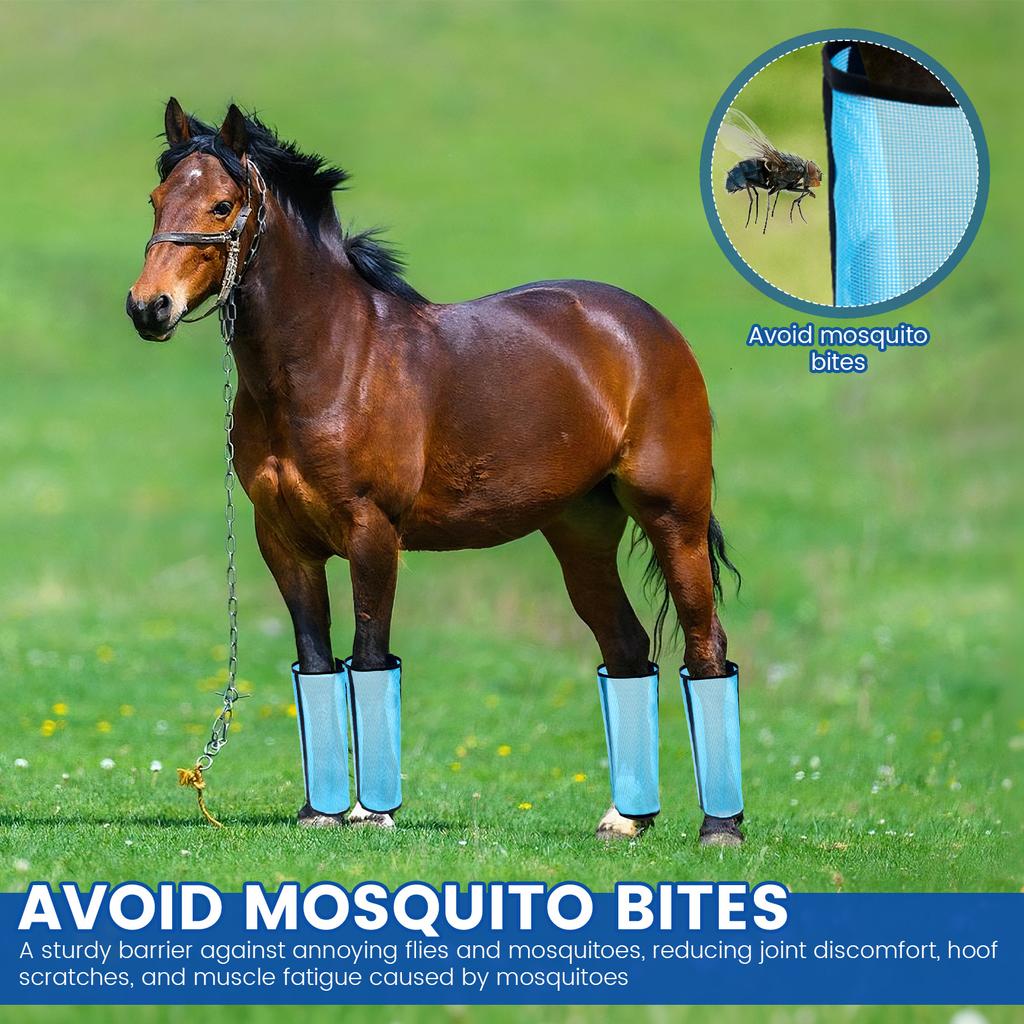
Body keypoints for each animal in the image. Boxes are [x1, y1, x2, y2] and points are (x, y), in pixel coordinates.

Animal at [127, 99, 744, 846]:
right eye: (156, 199)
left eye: (222, 205)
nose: (148, 307)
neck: (332, 360)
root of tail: (646, 326)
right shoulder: (283, 541)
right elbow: (315, 661)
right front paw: (318, 812)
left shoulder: (372, 532)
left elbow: (369, 656)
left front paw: (370, 812)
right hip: (579, 531)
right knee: (626, 649)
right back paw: (626, 819)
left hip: (672, 516)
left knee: (705, 646)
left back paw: (721, 826)